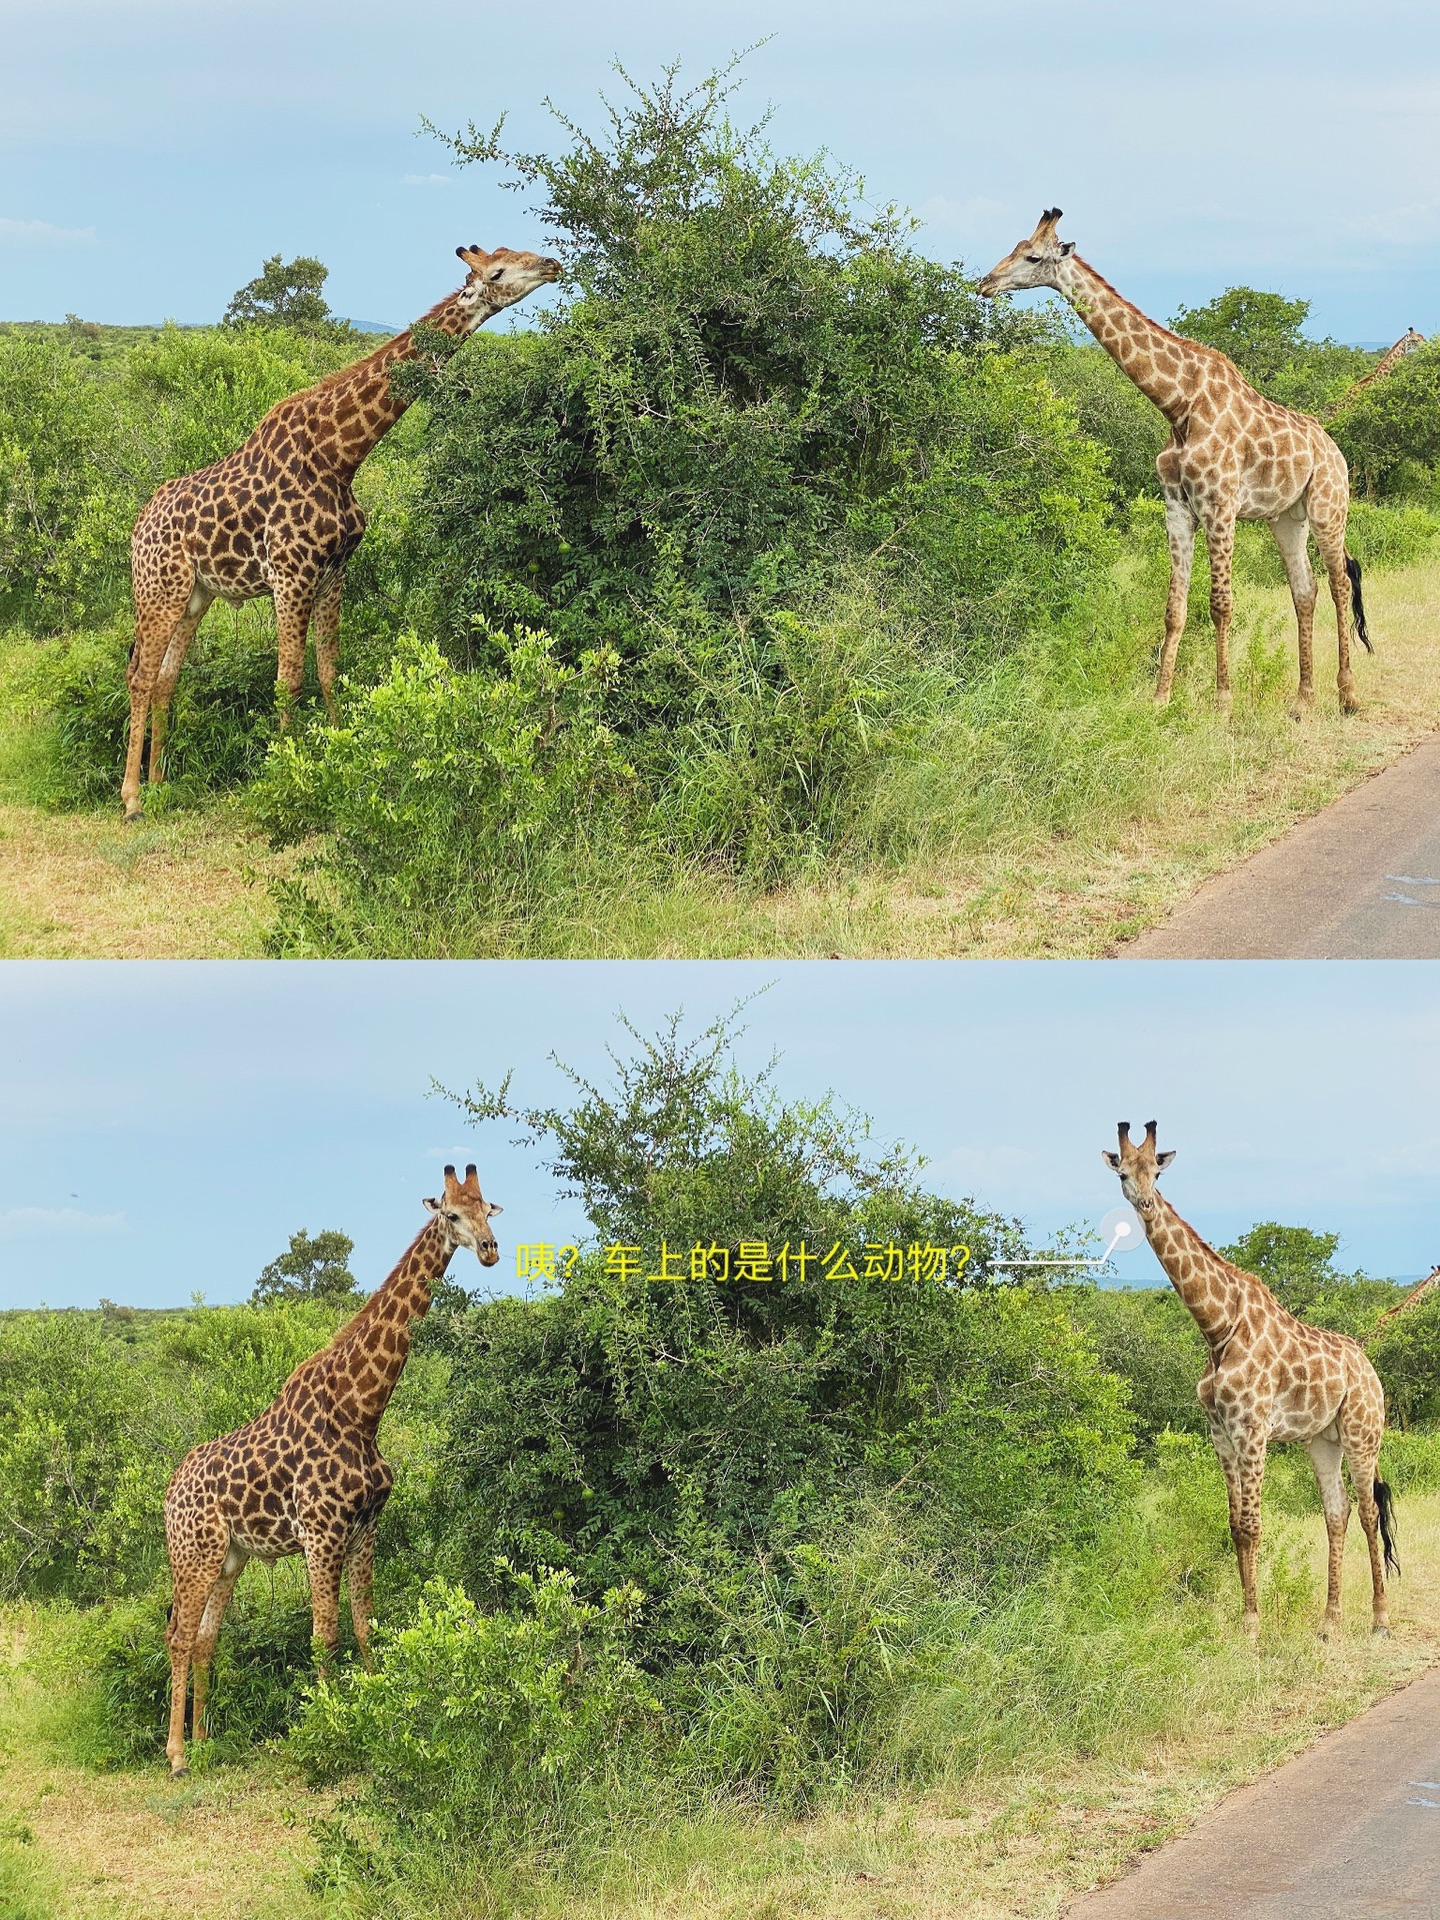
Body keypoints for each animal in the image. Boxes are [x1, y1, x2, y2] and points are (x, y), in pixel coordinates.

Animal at [120, 240, 564, 817]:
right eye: (499, 271)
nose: (553, 265)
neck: (340, 458)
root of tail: (136, 529)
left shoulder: (334, 572)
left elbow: (330, 668)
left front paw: (339, 754)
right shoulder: (291, 577)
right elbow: (288, 680)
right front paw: (287, 777)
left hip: (197, 594)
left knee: (166, 677)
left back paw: (159, 784)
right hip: (158, 589)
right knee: (140, 675)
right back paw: (131, 798)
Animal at [160, 1159, 503, 1774]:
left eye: (490, 1209)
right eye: (450, 1213)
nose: (489, 1249)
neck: (361, 1412)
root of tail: (169, 1493)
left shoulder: (366, 1527)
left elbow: (366, 1623)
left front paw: (375, 1704)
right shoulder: (321, 1535)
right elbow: (325, 1635)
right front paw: (329, 1724)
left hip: (229, 1557)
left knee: (203, 1638)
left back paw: (202, 1743)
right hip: (192, 1553)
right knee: (178, 1635)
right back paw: (175, 1755)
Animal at [983, 212, 1374, 721]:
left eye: (1032, 257)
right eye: (1014, 247)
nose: (985, 283)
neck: (1177, 403)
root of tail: (1335, 449)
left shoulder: (1220, 507)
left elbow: (1221, 603)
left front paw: (1223, 702)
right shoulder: (1177, 508)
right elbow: (1175, 607)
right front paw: (1159, 699)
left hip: (1329, 506)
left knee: (1339, 584)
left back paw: (1347, 695)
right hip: (1287, 518)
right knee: (1304, 591)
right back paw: (1302, 699)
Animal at [1105, 1121, 1397, 1635]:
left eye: (1156, 1172)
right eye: (1123, 1173)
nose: (1145, 1203)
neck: (1217, 1327)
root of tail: (1369, 1368)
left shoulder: (1253, 1428)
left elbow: (1254, 1524)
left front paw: (1254, 1625)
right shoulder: (1221, 1432)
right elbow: (1236, 1526)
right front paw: (1247, 1618)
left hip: (1363, 1433)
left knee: (1367, 1509)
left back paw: (1379, 1617)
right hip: (1323, 1440)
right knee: (1336, 1511)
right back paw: (1329, 1622)